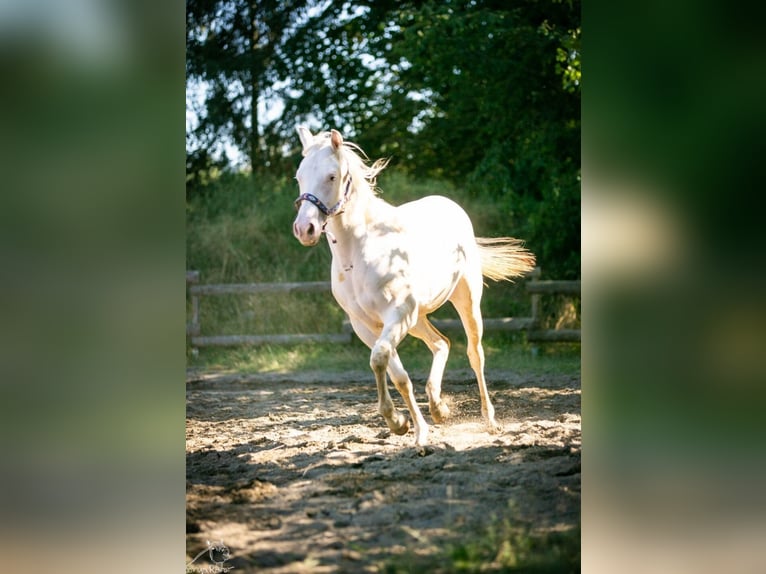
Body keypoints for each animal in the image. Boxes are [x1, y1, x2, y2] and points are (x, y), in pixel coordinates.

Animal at [292, 128, 536, 448]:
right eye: (299, 176)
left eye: (332, 176)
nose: (304, 229)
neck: (359, 253)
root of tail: (451, 206)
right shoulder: (367, 325)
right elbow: (397, 374)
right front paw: (406, 425)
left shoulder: (398, 314)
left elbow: (379, 358)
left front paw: (404, 424)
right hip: (418, 318)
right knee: (441, 343)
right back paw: (439, 408)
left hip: (465, 301)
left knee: (475, 354)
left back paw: (490, 420)